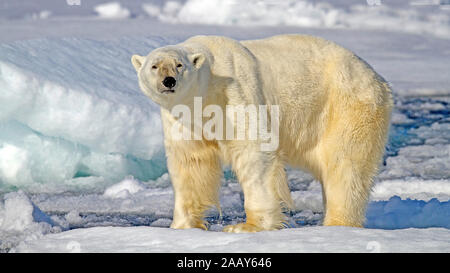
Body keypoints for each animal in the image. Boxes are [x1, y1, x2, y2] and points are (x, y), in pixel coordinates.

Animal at [130, 34, 390, 232]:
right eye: (154, 66)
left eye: (179, 65)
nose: (168, 81)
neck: (207, 91)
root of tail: (377, 77)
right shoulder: (184, 118)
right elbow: (190, 163)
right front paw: (181, 226)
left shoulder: (235, 93)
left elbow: (253, 149)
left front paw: (246, 226)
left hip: (346, 105)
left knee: (345, 166)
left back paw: (337, 224)